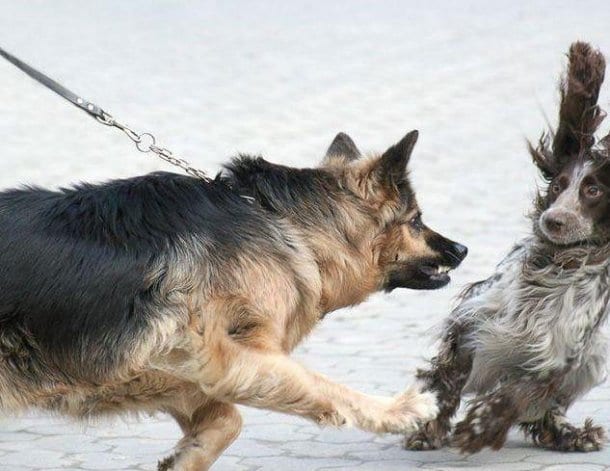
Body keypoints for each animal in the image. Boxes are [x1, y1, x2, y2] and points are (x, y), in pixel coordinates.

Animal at [0, 128, 466, 468]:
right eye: (417, 220)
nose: (463, 249)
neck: (284, 222)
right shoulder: (221, 356)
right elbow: (326, 389)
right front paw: (399, 410)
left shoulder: (183, 369)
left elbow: (228, 419)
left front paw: (186, 456)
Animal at [404, 42, 608, 456]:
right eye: (559, 184)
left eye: (593, 190)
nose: (553, 220)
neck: (559, 264)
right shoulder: (474, 320)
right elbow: (448, 378)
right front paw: (430, 427)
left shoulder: (562, 353)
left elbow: (523, 392)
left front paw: (481, 426)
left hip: (594, 358)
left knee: (546, 409)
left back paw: (568, 433)